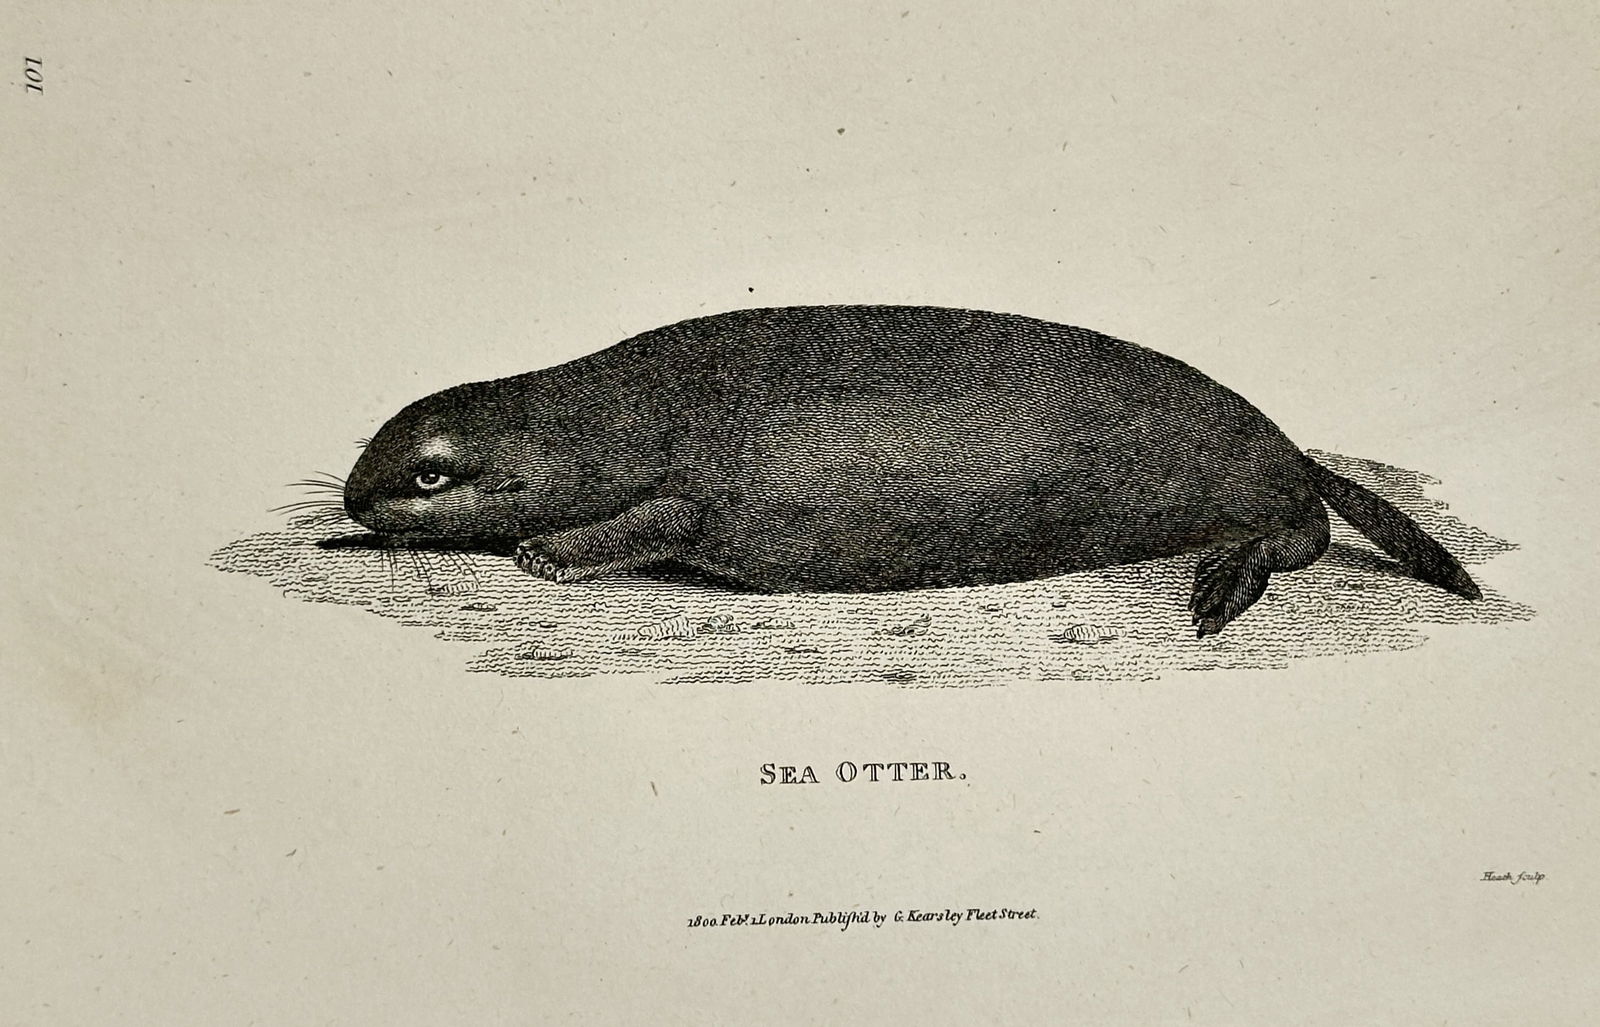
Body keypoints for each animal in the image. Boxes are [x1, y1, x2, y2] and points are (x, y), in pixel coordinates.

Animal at [340, 305, 1480, 636]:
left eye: (431, 476)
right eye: (379, 448)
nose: (351, 497)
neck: (582, 420)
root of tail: (1289, 443)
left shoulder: (687, 493)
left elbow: (654, 518)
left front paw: (545, 552)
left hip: (1260, 485)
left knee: (1305, 532)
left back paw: (1218, 586)